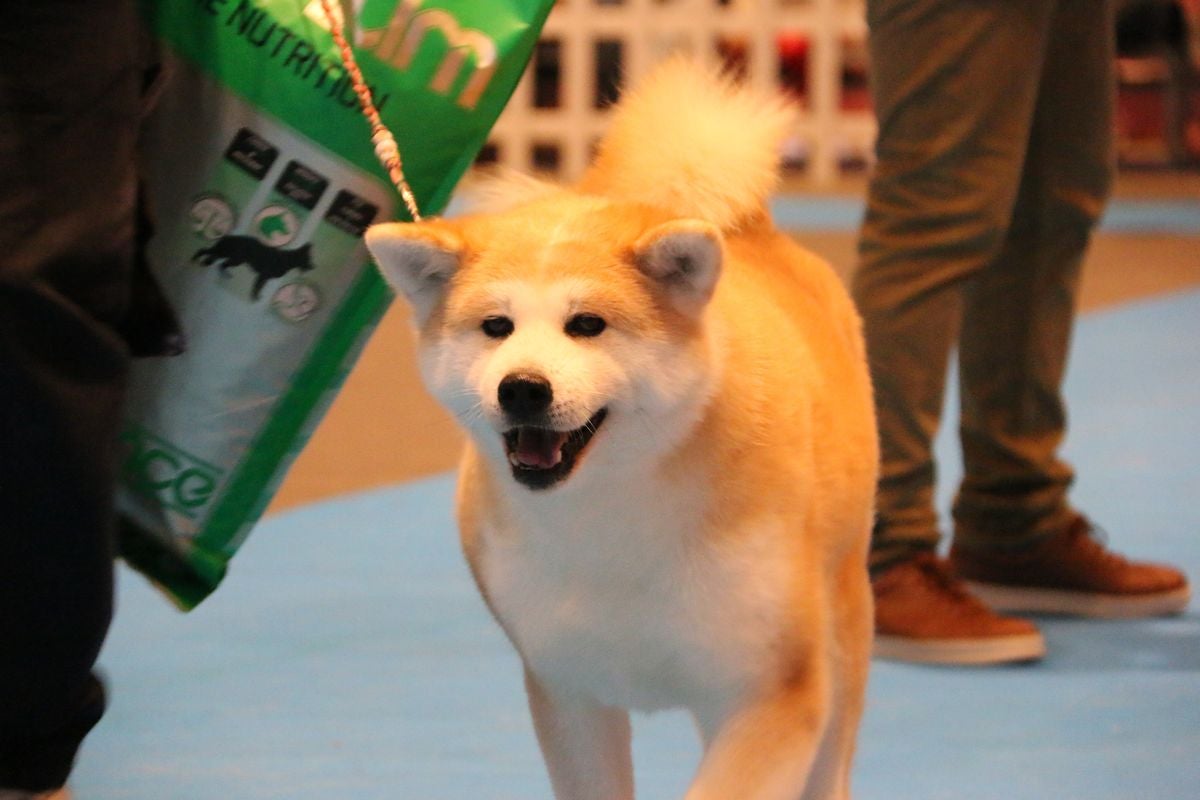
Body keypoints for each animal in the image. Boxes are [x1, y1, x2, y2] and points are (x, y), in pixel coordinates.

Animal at [360, 61, 878, 800]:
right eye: (496, 327)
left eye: (587, 324)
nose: (522, 387)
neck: (611, 510)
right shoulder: (568, 690)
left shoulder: (770, 694)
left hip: (838, 626)